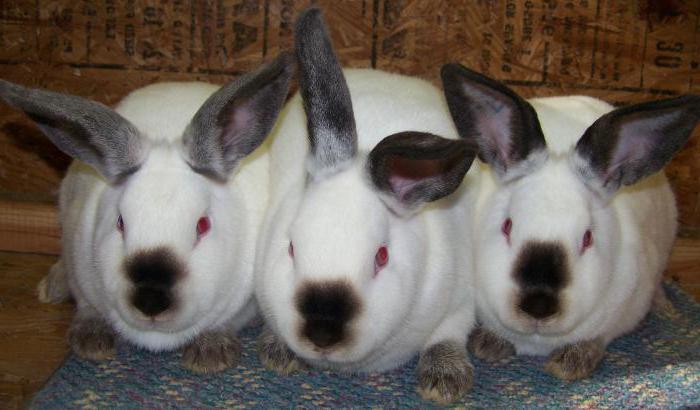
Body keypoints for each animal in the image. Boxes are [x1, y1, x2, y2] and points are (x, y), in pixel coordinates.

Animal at [0, 51, 294, 373]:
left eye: (202, 225)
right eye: (120, 223)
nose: (151, 300)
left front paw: (210, 355)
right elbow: (88, 308)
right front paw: (91, 343)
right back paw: (51, 288)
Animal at [254, 8, 479, 404]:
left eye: (382, 257)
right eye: (291, 248)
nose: (323, 333)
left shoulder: (460, 303)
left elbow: (447, 336)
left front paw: (443, 382)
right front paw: (277, 353)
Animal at [440, 62, 700, 380]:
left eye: (587, 238)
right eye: (507, 226)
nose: (538, 306)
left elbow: (598, 338)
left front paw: (570, 362)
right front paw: (489, 345)